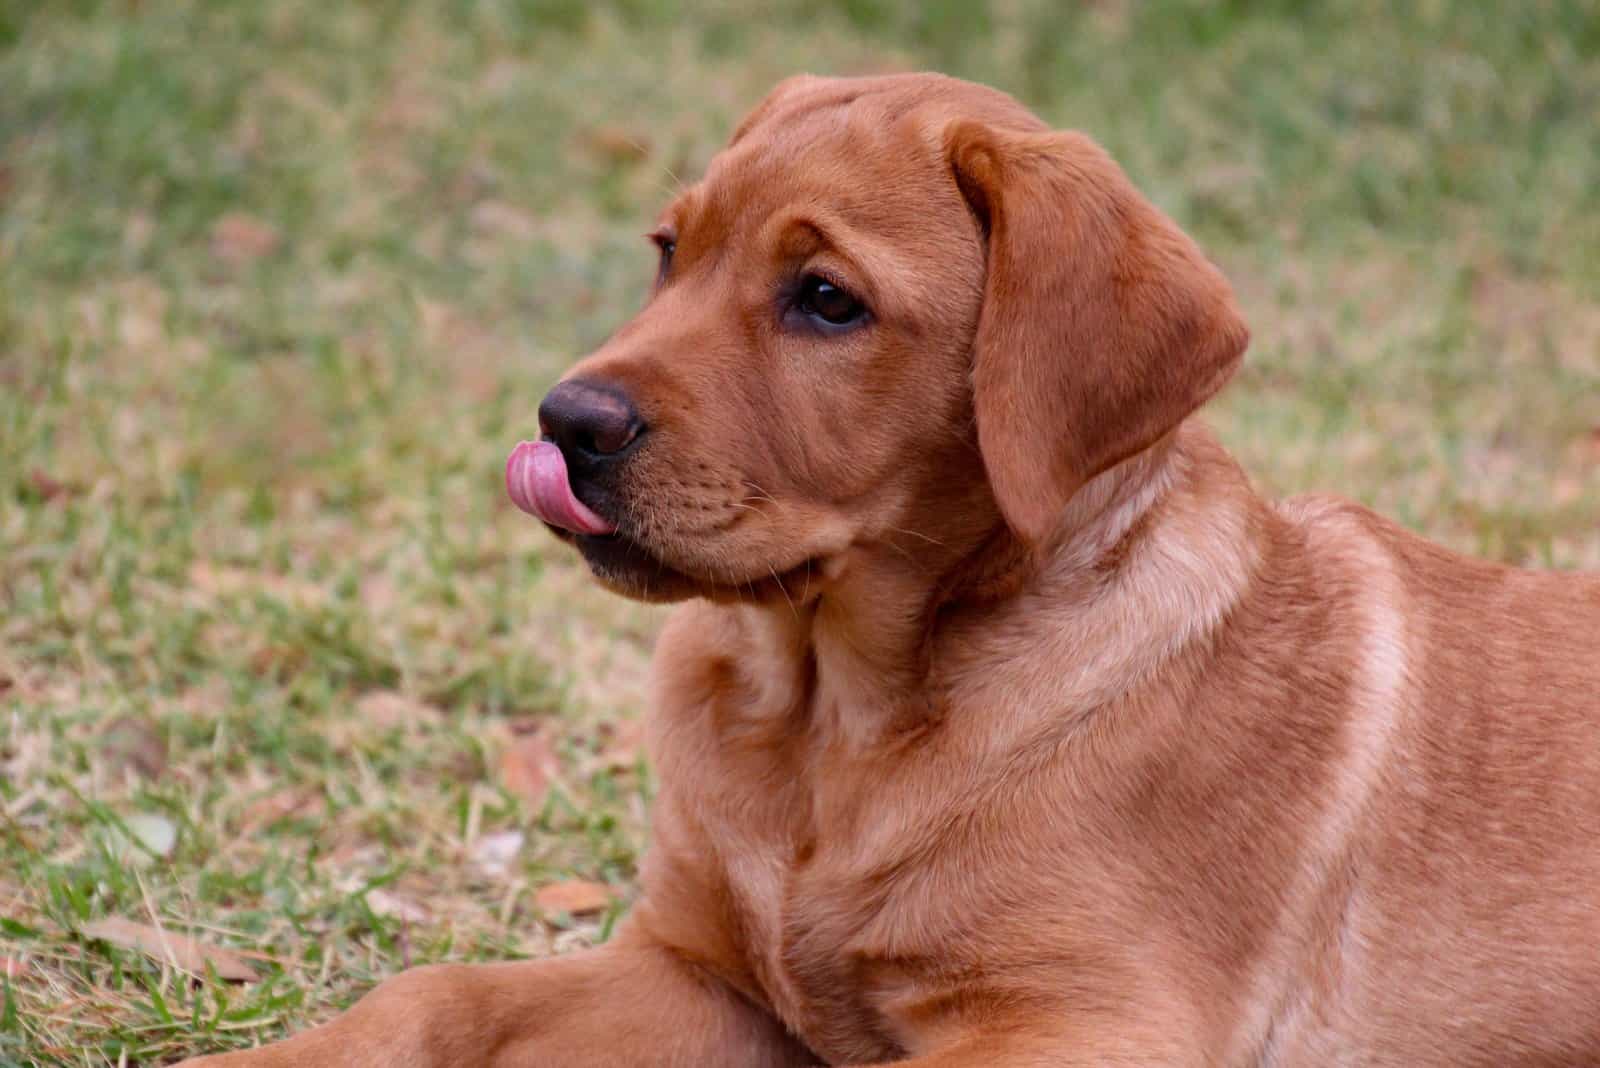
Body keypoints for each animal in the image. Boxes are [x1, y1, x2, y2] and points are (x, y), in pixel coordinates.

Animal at [178, 75, 1600, 1068]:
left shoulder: (1088, 1022)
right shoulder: (702, 973)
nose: (563, 422)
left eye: (825, 300)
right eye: (668, 251)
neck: (833, 722)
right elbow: (434, 994)